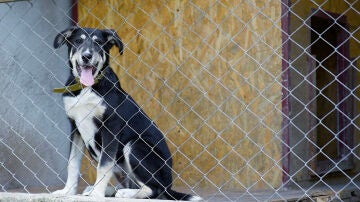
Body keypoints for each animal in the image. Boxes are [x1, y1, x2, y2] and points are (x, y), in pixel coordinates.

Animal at [51, 26, 202, 200]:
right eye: (78, 41)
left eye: (98, 43)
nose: (87, 56)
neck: (87, 89)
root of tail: (169, 185)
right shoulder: (75, 127)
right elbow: (72, 164)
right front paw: (67, 191)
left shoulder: (111, 126)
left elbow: (104, 165)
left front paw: (97, 194)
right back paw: (107, 190)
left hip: (135, 145)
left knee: (154, 190)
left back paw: (124, 193)